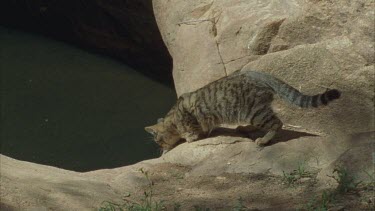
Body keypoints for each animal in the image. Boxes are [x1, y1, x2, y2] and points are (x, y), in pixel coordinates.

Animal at [145, 70, 342, 152]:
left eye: (158, 140)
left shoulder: (188, 116)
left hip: (253, 111)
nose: (161, 148)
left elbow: (191, 130)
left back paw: (263, 140)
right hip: (258, 110)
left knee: (277, 123)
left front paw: (189, 137)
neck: (172, 118)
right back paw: (246, 129)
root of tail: (260, 74)